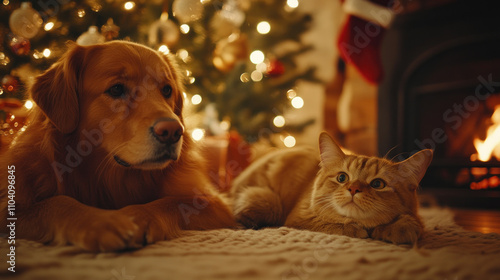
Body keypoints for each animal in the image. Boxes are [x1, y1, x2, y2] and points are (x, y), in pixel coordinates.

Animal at [0, 41, 236, 252]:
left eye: (167, 90)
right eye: (116, 89)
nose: (172, 131)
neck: (111, 178)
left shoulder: (214, 202)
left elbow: (170, 202)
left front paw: (138, 216)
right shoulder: (11, 208)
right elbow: (57, 203)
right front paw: (102, 222)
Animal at [232, 132, 432, 244]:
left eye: (378, 184)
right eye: (342, 178)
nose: (353, 189)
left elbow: (412, 223)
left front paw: (400, 227)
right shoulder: (299, 219)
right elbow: (332, 225)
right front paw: (355, 229)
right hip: (270, 203)